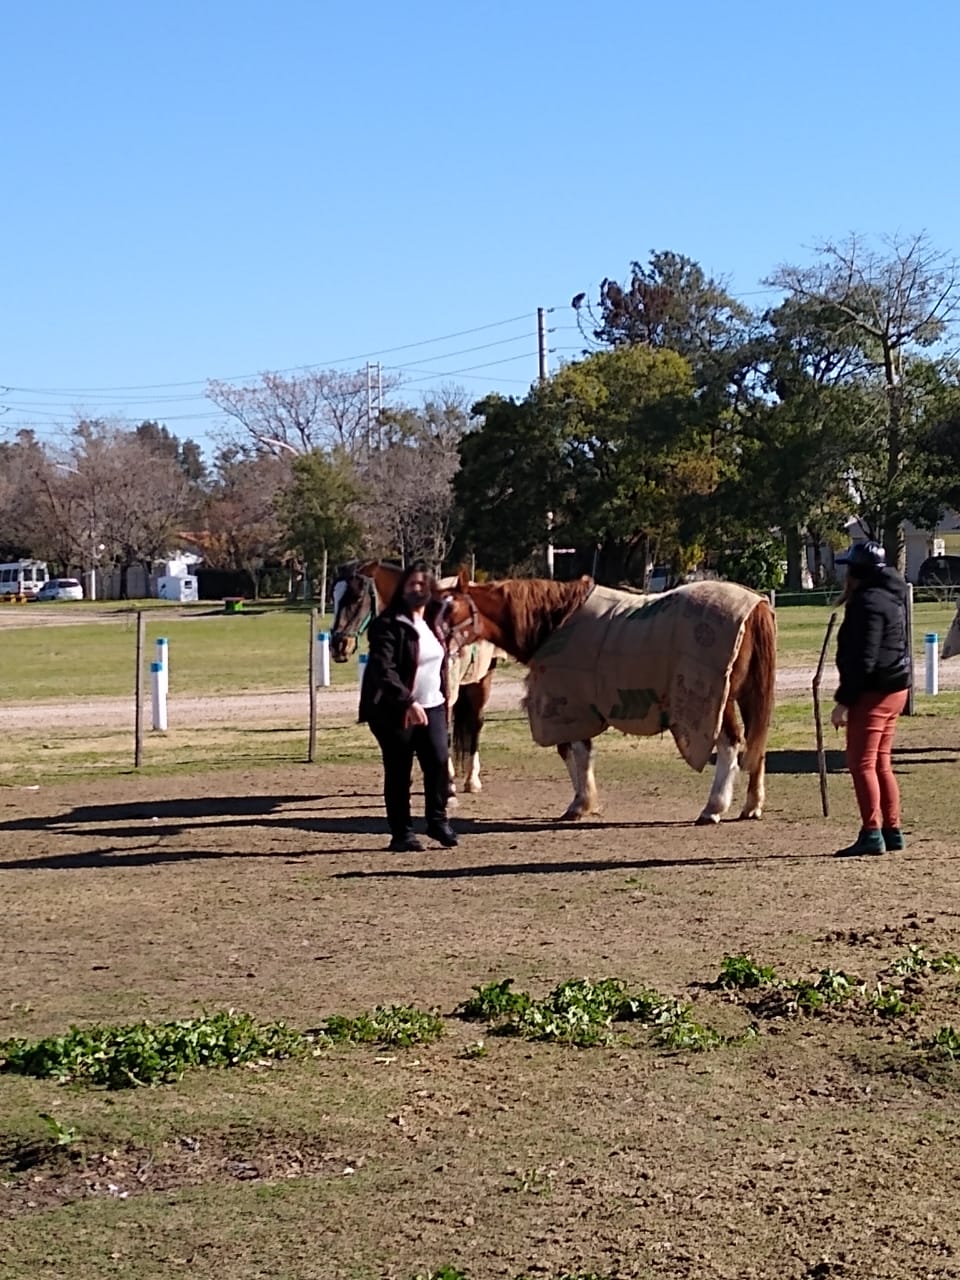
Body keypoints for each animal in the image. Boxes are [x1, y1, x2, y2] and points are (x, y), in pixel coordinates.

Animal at [442, 570, 777, 826]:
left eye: (451, 610)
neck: (554, 622)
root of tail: (755, 606)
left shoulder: (570, 703)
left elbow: (575, 750)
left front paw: (581, 802)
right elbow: (573, 751)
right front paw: (584, 800)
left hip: (715, 699)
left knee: (730, 743)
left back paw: (713, 808)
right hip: (746, 695)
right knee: (756, 745)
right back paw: (751, 806)